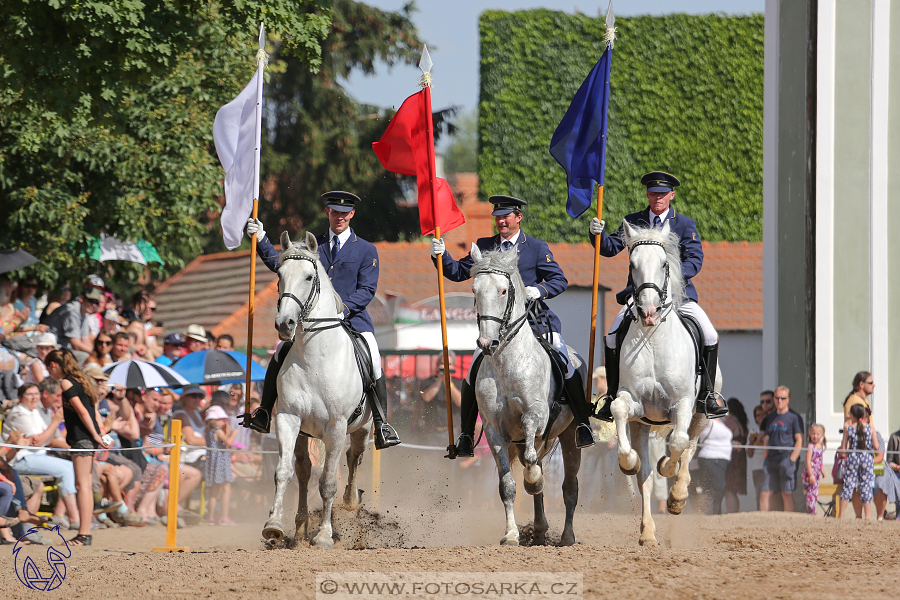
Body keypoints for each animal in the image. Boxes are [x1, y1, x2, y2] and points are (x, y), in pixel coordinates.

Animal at [262, 231, 370, 548]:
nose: (284, 324)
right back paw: (299, 529)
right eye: (279, 275)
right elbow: (284, 472)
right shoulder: (287, 418)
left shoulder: (336, 426)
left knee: (353, 457)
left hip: (362, 428)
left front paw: (323, 535)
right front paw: (273, 525)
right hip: (303, 432)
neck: (315, 357)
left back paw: (349, 503)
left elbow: (329, 482)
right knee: (303, 471)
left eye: (309, 277)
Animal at [472, 245, 584, 548]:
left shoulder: (538, 415)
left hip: (570, 436)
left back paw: (567, 537)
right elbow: (507, 486)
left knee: (569, 487)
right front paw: (511, 534)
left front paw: (533, 479)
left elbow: (530, 436)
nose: (486, 343)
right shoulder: (493, 430)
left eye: (502, 290)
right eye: (475, 290)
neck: (506, 363)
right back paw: (540, 529)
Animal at [608, 221, 720, 548]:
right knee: (645, 477)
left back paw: (677, 498)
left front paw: (668, 470)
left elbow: (679, 444)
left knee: (689, 447)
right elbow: (618, 410)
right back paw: (647, 532)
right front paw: (628, 461)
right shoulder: (631, 402)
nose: (647, 312)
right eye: (632, 265)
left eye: (664, 264)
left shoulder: (683, 404)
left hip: (700, 416)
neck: (653, 337)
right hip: (642, 424)